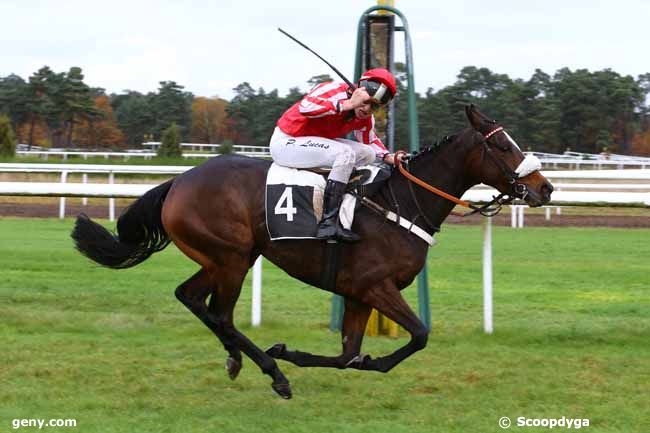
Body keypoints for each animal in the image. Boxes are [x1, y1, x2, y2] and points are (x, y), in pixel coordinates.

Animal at [72, 105, 552, 398]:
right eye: (503, 145)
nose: (545, 188)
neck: (400, 203)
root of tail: (179, 181)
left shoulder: (358, 294)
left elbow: (347, 355)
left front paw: (301, 353)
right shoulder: (376, 287)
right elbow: (418, 336)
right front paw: (293, 357)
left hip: (228, 257)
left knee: (194, 299)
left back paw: (239, 359)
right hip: (231, 257)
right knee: (220, 313)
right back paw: (273, 373)